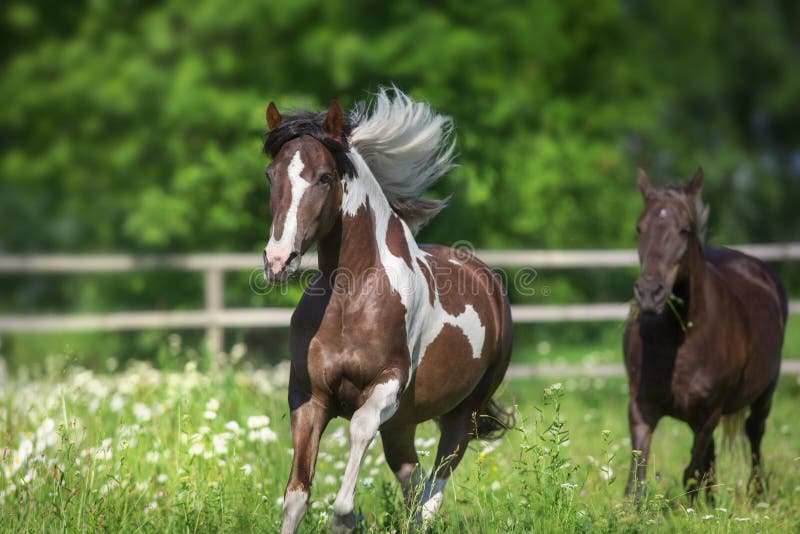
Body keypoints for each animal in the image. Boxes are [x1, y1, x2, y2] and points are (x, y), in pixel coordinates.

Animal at [262, 90, 512, 532]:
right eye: (271, 175)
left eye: (324, 177)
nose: (278, 260)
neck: (352, 297)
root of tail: (488, 281)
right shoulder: (308, 396)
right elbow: (296, 496)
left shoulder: (388, 384)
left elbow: (359, 428)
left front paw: (345, 516)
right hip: (403, 423)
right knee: (412, 478)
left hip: (463, 413)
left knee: (435, 487)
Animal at [624, 169, 788, 502]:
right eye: (639, 228)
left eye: (685, 229)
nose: (649, 294)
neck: (680, 341)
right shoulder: (641, 408)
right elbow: (638, 480)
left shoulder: (710, 412)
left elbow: (691, 472)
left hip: (764, 392)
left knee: (754, 434)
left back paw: (756, 493)